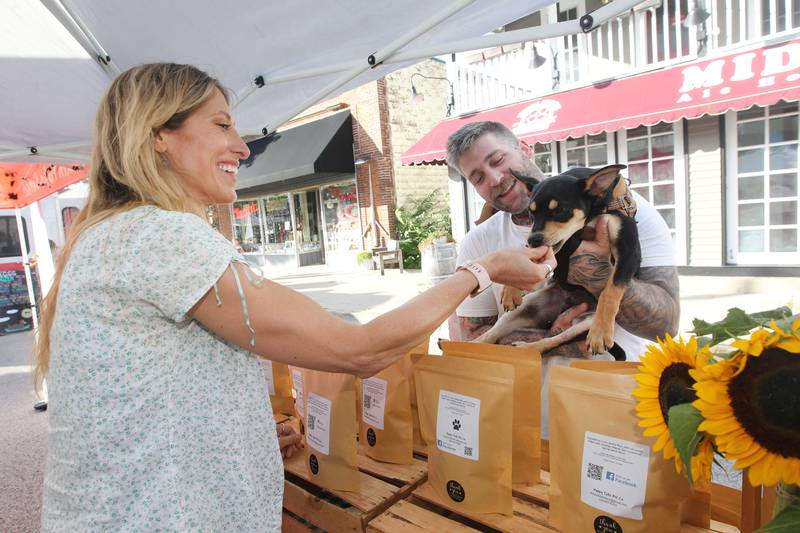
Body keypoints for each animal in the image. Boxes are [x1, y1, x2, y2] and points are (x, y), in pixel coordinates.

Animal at [476, 164, 636, 360]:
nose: (534, 240)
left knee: (556, 340)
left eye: (559, 211)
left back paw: (528, 347)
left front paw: (601, 333)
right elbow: (526, 254)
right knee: (493, 333)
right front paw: (511, 290)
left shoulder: (628, 250)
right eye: (531, 213)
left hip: (584, 322)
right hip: (525, 306)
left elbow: (611, 291)